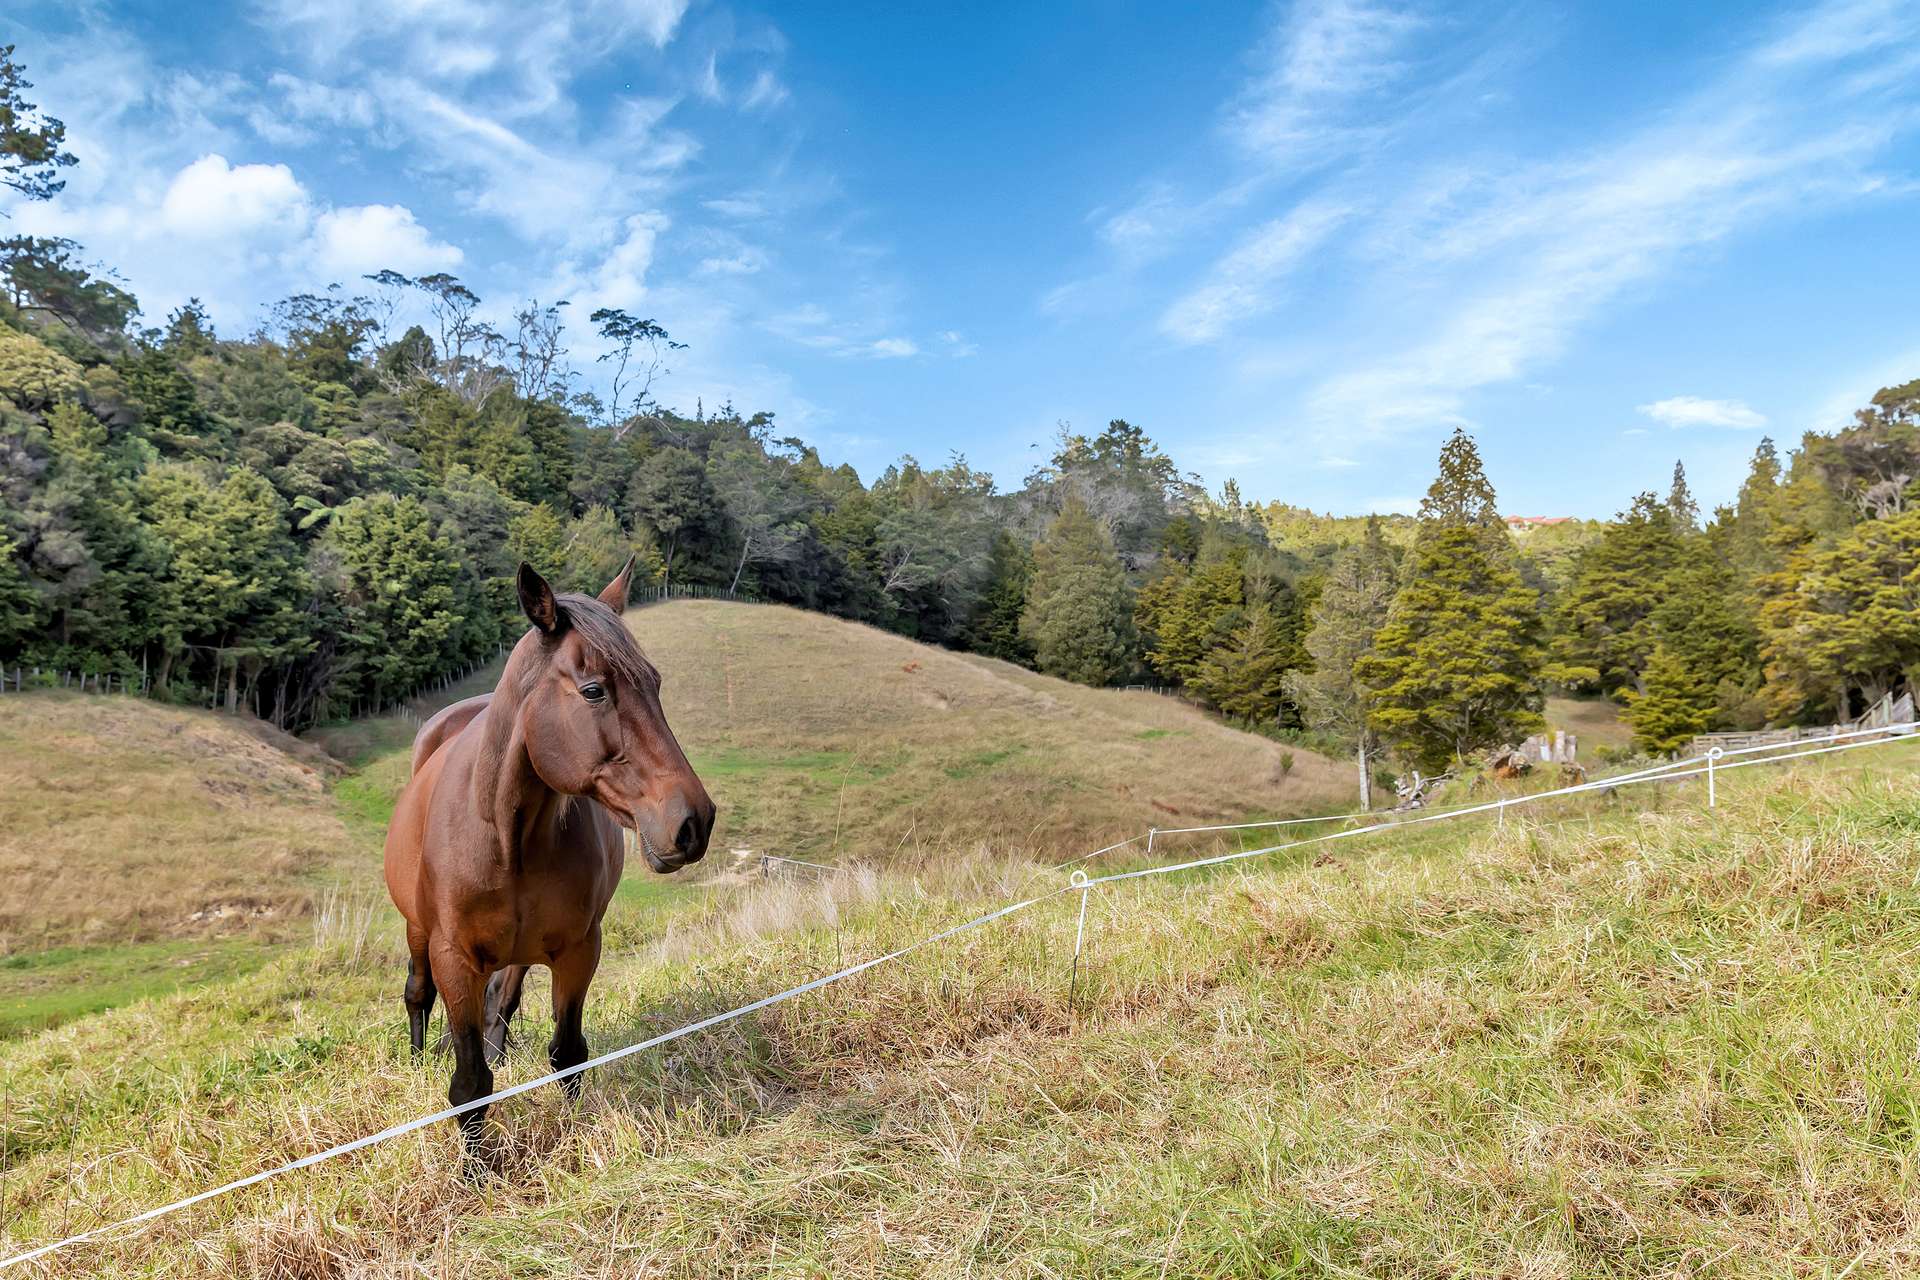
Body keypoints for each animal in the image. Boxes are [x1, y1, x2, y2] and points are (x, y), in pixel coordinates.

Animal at [382, 560, 714, 1159]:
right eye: (593, 690)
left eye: (654, 683)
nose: (692, 821)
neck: (505, 837)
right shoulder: (453, 956)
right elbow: (470, 1084)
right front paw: (477, 1171)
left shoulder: (579, 948)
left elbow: (567, 1054)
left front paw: (577, 1135)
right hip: (417, 930)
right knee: (419, 994)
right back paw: (419, 1060)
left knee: (503, 998)